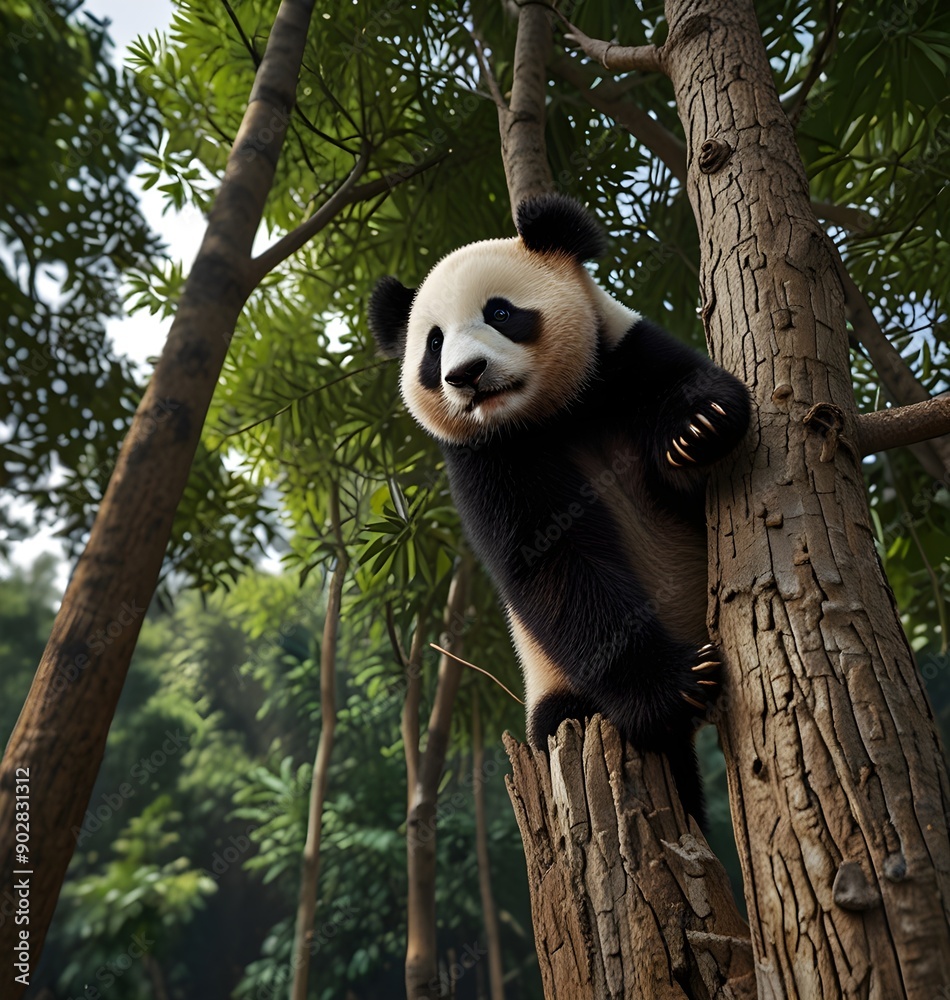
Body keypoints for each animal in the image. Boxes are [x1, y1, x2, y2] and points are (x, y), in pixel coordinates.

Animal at [369, 194, 750, 824]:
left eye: (500, 312)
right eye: (433, 343)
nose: (466, 376)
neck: (552, 416)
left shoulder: (622, 356)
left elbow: (692, 389)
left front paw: (698, 427)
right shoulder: (486, 461)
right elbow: (555, 566)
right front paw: (675, 686)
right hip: (556, 687)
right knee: (579, 721)